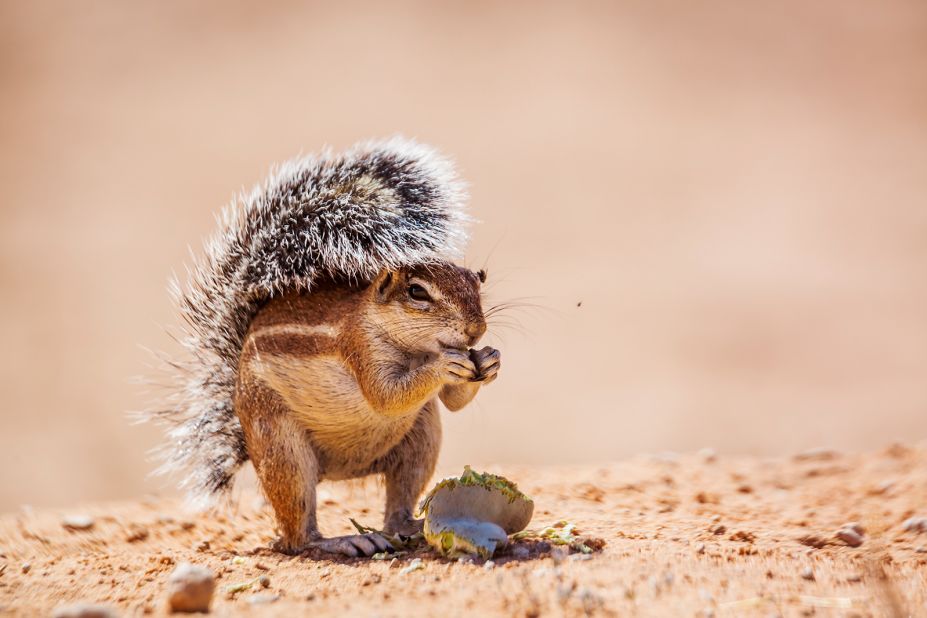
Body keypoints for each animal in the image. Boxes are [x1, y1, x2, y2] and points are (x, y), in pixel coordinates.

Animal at [146, 138, 504, 552]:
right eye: (417, 292)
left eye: (477, 280)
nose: (476, 330)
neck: (414, 347)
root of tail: (340, 471)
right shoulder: (360, 348)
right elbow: (386, 395)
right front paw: (444, 365)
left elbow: (452, 401)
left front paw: (490, 360)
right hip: (282, 447)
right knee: (297, 534)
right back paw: (340, 542)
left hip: (421, 439)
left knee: (398, 499)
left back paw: (408, 526)